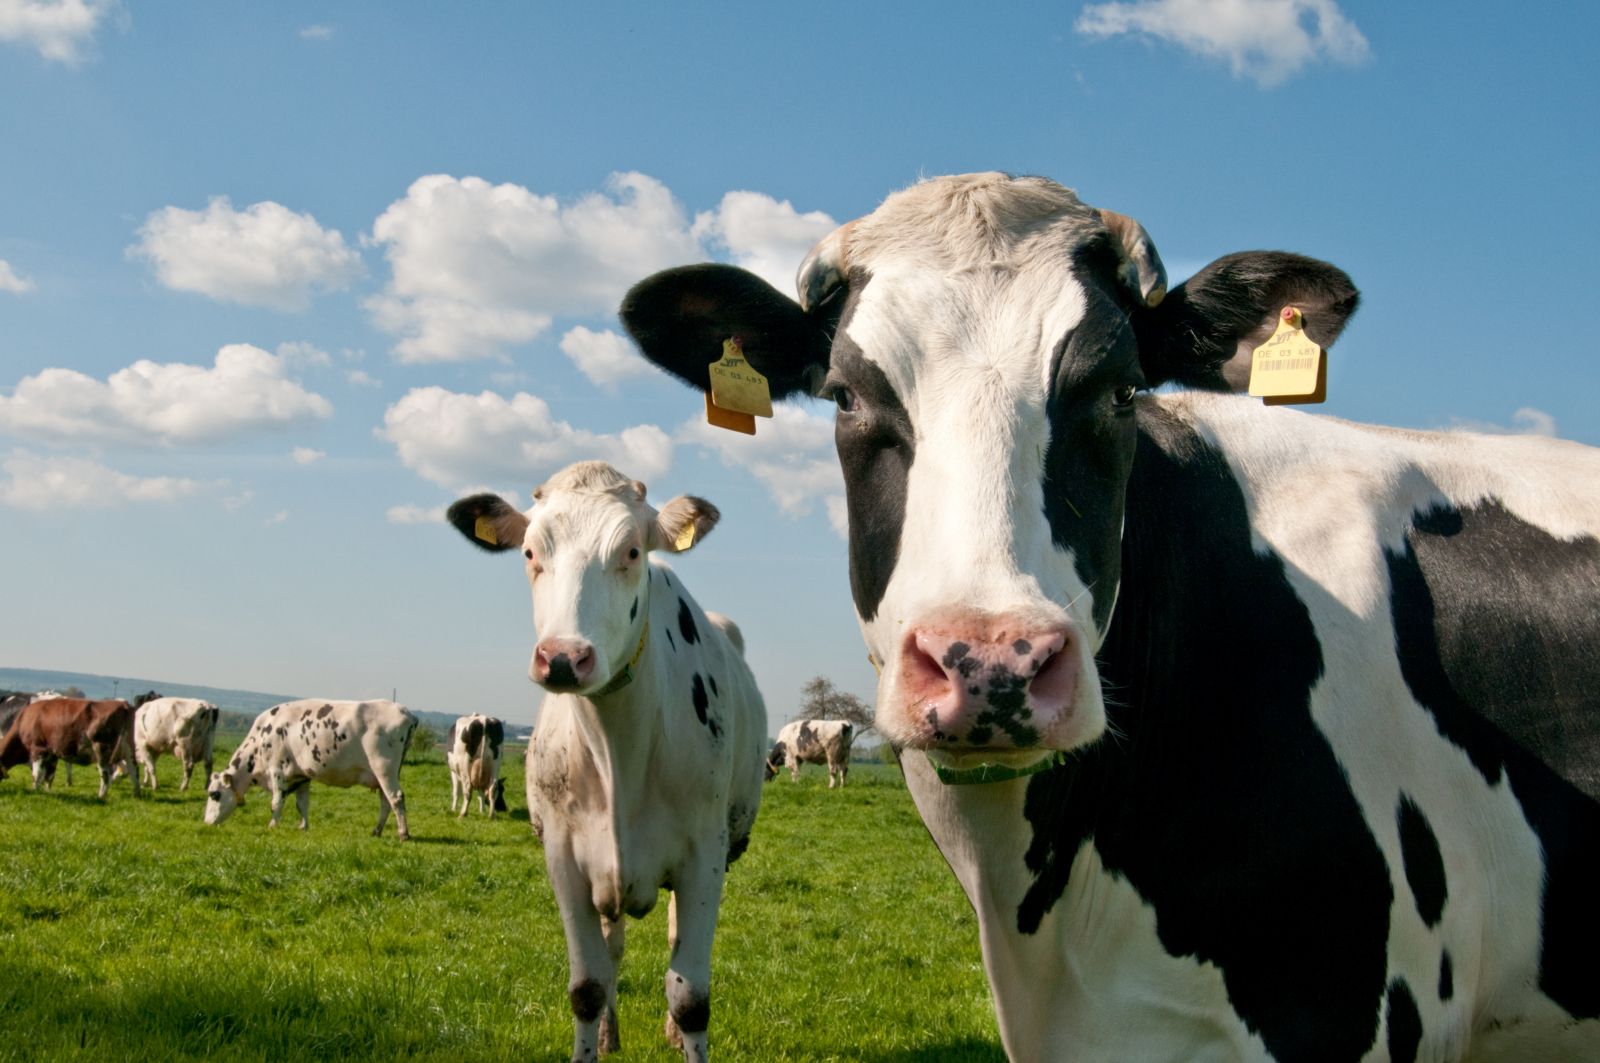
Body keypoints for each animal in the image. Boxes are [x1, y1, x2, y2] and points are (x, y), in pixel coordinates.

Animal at [0, 697, 141, 797]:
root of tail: (123, 705)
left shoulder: (38, 749)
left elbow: (37, 774)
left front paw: (35, 790)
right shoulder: (52, 754)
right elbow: (49, 776)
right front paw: (45, 791)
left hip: (101, 749)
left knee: (106, 774)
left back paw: (101, 796)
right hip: (129, 750)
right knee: (134, 771)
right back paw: (136, 795)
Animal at [203, 697, 419, 838]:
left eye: (214, 794)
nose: (206, 823)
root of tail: (406, 712)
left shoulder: (277, 770)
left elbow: (276, 802)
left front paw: (272, 825)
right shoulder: (301, 776)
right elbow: (302, 804)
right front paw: (303, 827)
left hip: (384, 768)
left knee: (396, 798)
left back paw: (403, 834)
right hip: (385, 773)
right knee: (386, 801)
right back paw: (377, 831)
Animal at [444, 457, 768, 1063]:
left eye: (633, 551)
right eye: (529, 552)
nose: (563, 658)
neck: (619, 749)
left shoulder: (704, 856)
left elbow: (691, 996)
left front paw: (681, 1028)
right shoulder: (564, 857)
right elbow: (587, 985)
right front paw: (594, 1036)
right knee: (613, 947)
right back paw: (610, 1034)